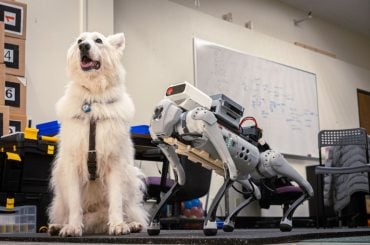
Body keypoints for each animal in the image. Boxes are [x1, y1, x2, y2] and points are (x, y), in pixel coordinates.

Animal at [47, 31, 147, 236]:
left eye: (98, 40)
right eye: (80, 41)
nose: (83, 46)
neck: (92, 101)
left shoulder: (115, 163)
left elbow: (116, 201)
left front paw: (118, 225)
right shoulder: (72, 164)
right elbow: (75, 204)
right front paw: (73, 227)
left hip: (131, 179)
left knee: (129, 208)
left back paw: (132, 224)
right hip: (60, 189)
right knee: (66, 211)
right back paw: (58, 226)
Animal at [147, 82, 312, 235]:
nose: (157, 112)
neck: (181, 117)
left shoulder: (204, 119)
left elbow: (230, 173)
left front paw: (210, 224)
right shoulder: (164, 141)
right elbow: (180, 179)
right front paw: (153, 224)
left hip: (263, 164)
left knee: (277, 163)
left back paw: (288, 219)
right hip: (244, 174)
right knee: (256, 191)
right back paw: (230, 222)